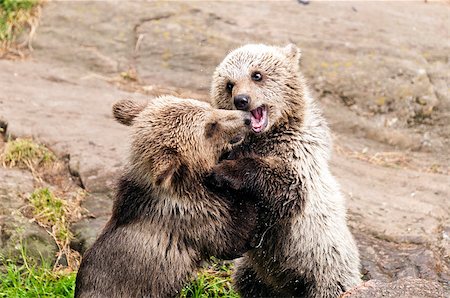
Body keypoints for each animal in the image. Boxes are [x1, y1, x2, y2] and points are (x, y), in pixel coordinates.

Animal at [207, 44, 362, 298]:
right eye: (229, 84)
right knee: (248, 282)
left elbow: (286, 187)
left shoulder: (300, 157)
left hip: (325, 270)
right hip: (255, 273)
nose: (241, 99)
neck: (266, 137)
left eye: (256, 74)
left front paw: (224, 172)